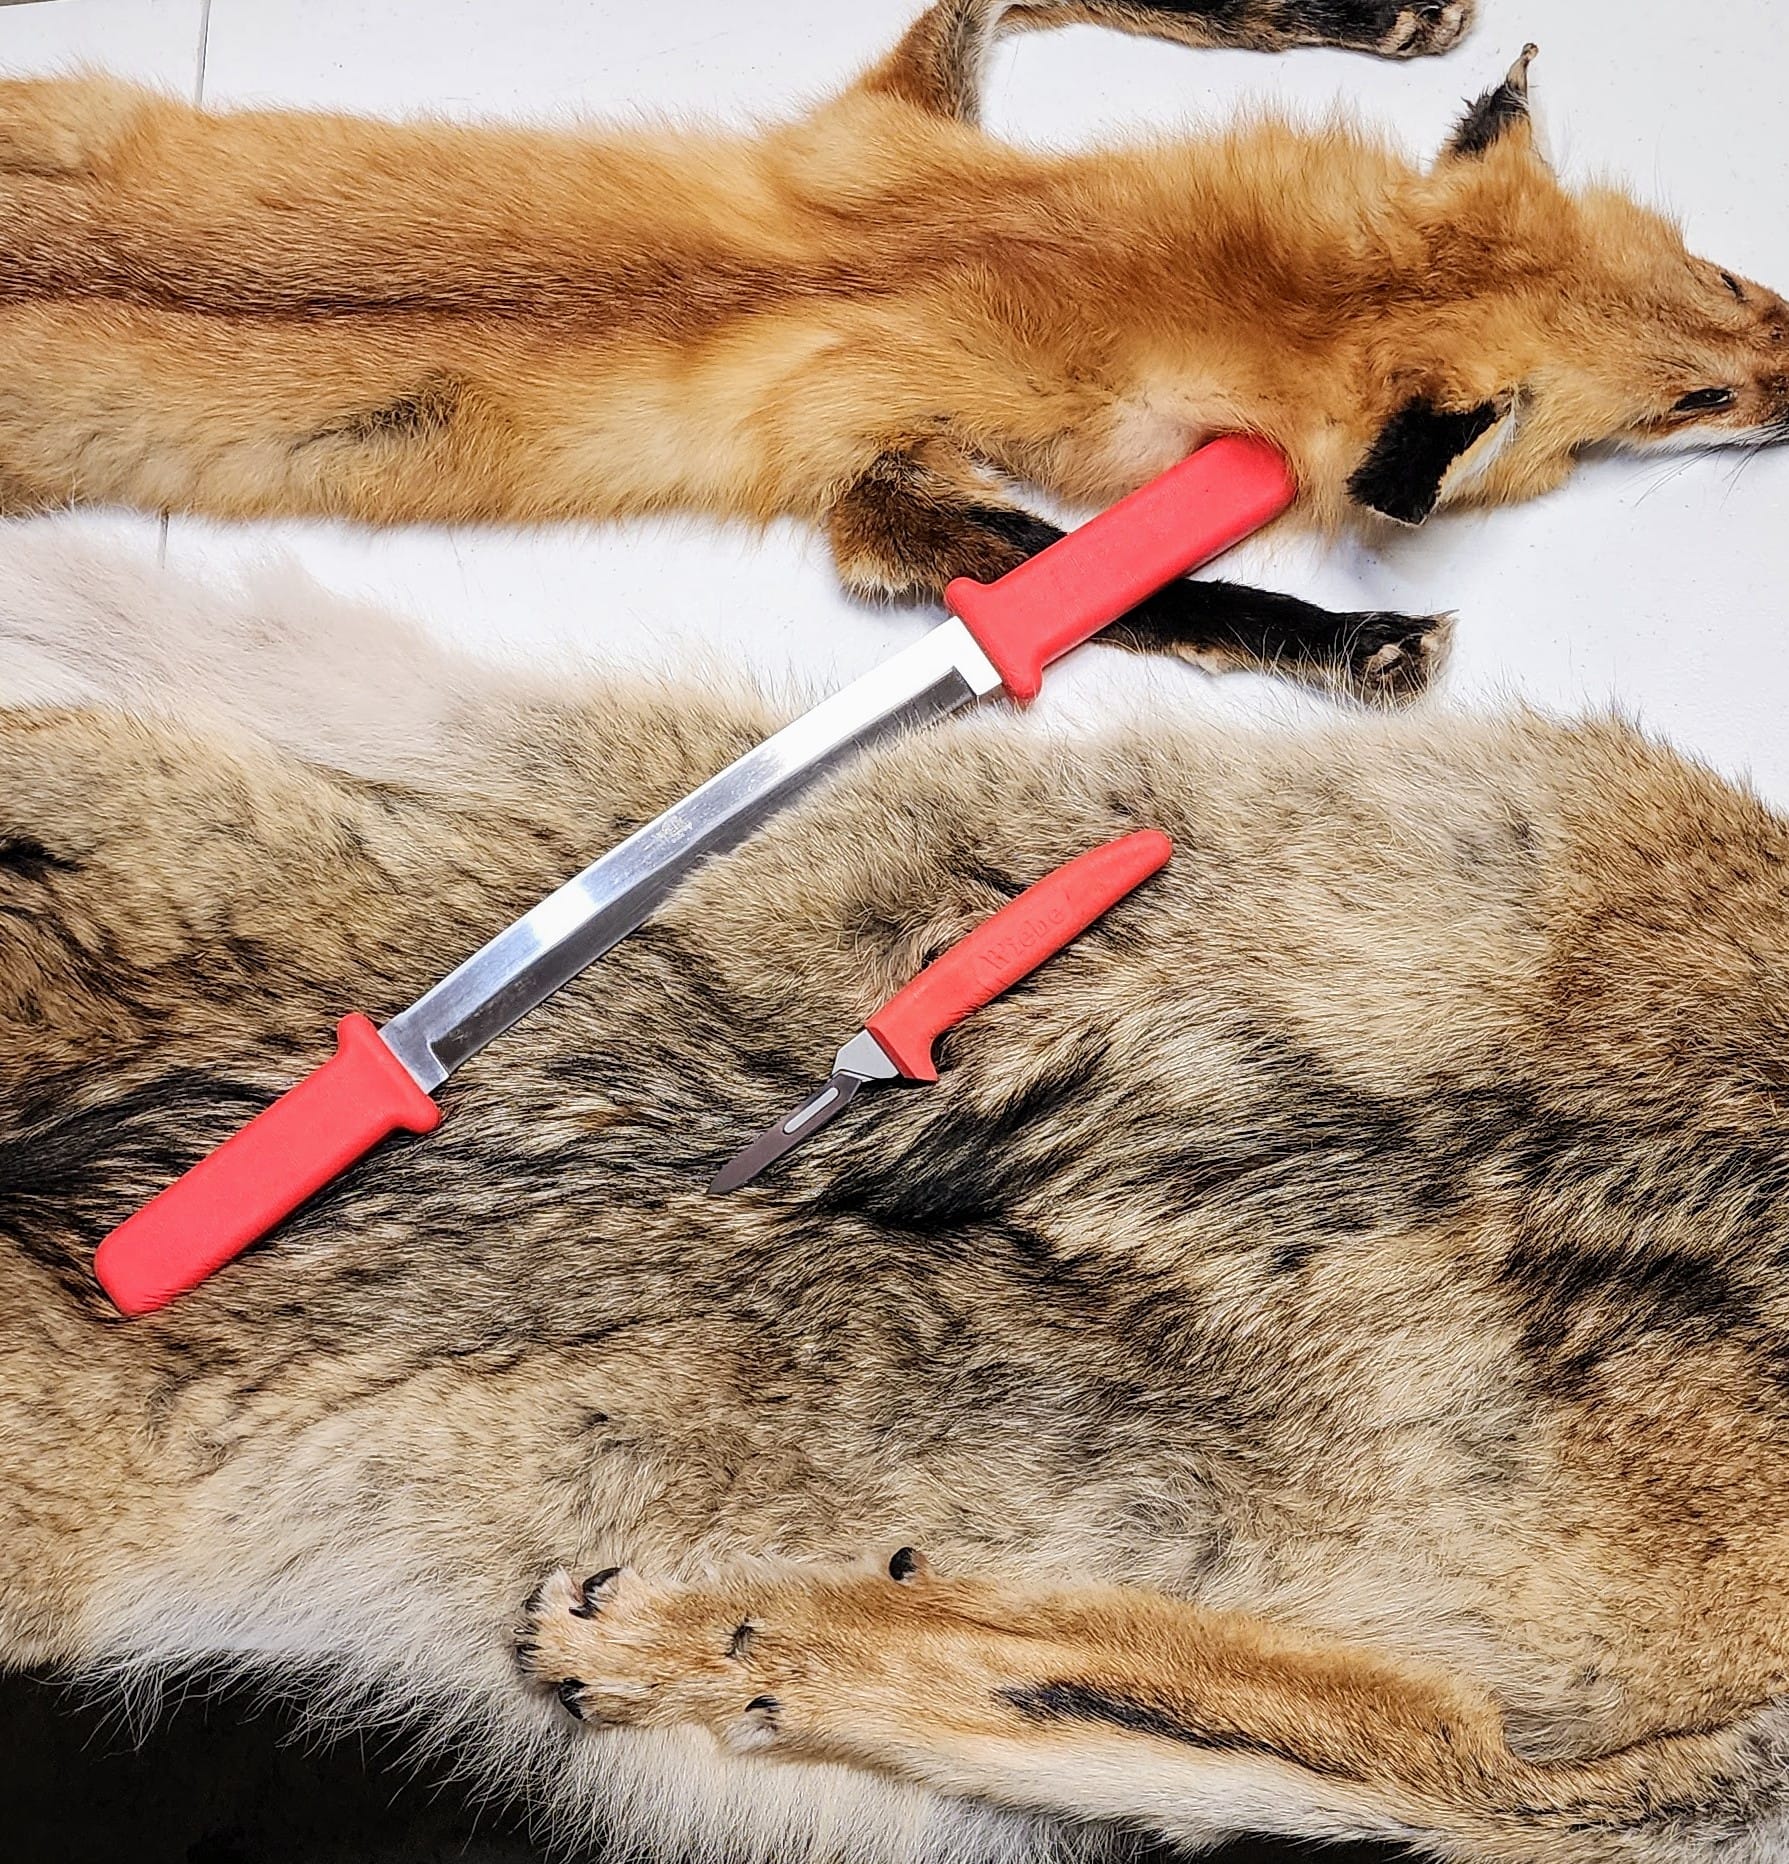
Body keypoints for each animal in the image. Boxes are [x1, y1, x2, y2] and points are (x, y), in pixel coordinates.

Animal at [0, 0, 1783, 700]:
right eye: (1687, 403)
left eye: (1720, 271)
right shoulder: (872, 485)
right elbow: (1105, 587)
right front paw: (1345, 641)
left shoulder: (890, 117)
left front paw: (1370, 20)